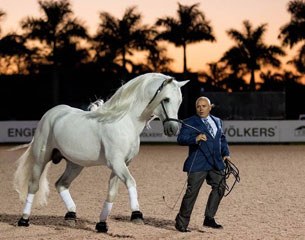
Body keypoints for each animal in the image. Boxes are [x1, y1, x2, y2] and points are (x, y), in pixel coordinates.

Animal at [14, 71, 188, 232]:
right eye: (166, 99)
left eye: (180, 101)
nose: (173, 129)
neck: (125, 122)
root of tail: (52, 113)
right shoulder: (116, 163)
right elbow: (131, 182)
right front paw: (136, 215)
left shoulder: (122, 165)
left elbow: (111, 193)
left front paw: (102, 225)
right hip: (41, 159)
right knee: (33, 186)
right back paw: (24, 220)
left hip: (75, 164)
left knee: (61, 184)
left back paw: (71, 216)